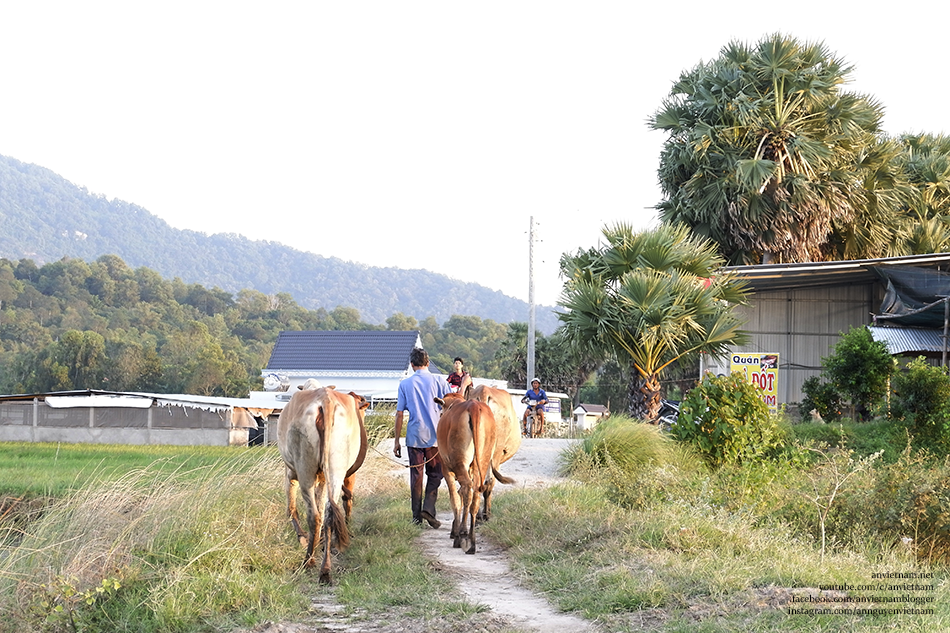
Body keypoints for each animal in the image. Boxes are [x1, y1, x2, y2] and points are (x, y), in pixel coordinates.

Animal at [278, 382, 368, 580]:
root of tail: (325, 399)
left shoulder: (290, 474)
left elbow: (291, 509)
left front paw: (303, 539)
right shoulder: (323, 479)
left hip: (305, 470)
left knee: (314, 516)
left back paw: (309, 561)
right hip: (335, 469)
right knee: (328, 514)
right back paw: (325, 569)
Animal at [436, 396, 512, 552]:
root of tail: (474, 406)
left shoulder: (447, 470)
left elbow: (455, 499)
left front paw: (455, 531)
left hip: (460, 461)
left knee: (467, 489)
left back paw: (462, 534)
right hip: (482, 459)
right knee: (475, 493)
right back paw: (471, 541)